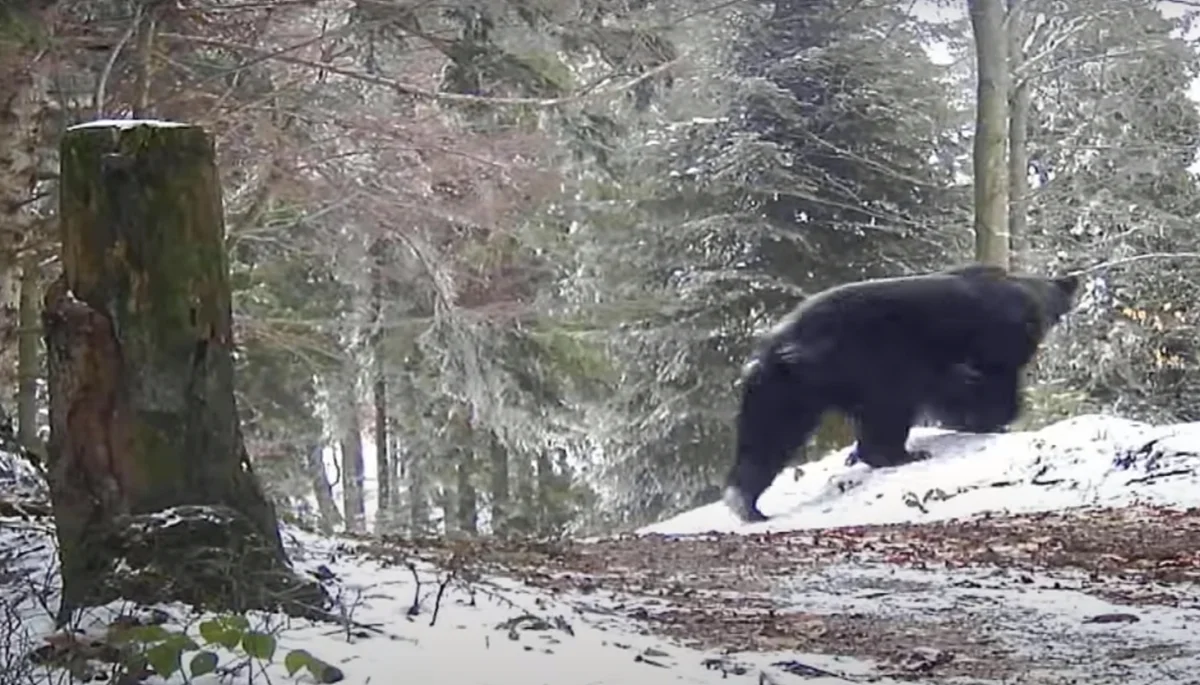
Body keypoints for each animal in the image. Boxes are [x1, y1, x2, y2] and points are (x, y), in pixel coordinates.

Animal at [720, 265, 1080, 523]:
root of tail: (783, 344)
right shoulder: (993, 341)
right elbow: (991, 383)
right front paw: (994, 418)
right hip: (868, 358)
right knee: (887, 411)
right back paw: (901, 454)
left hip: (783, 388)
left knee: (768, 435)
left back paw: (746, 502)